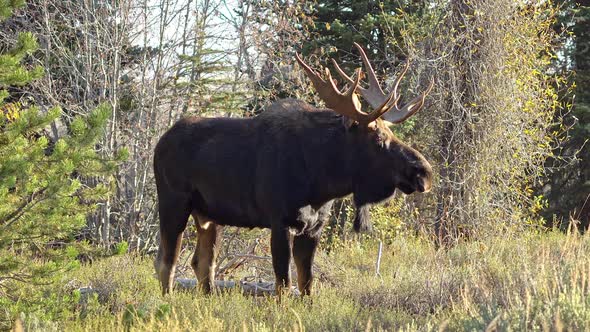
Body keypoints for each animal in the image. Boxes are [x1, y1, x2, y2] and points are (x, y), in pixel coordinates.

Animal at [155, 43, 434, 296]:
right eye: (378, 139)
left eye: (392, 133)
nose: (424, 172)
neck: (322, 180)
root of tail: (160, 143)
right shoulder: (280, 222)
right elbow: (283, 284)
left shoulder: (313, 228)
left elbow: (306, 284)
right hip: (173, 203)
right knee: (166, 263)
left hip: (209, 216)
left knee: (202, 264)